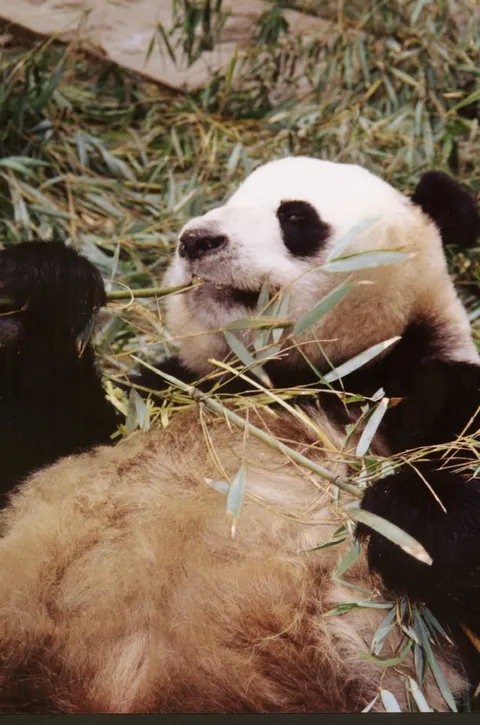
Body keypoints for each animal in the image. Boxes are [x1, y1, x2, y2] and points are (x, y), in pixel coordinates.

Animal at [0, 157, 479, 713]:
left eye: (294, 216)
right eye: (225, 200)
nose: (196, 240)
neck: (281, 378)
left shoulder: (426, 392)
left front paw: (411, 512)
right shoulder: (162, 394)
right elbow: (44, 440)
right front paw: (42, 285)